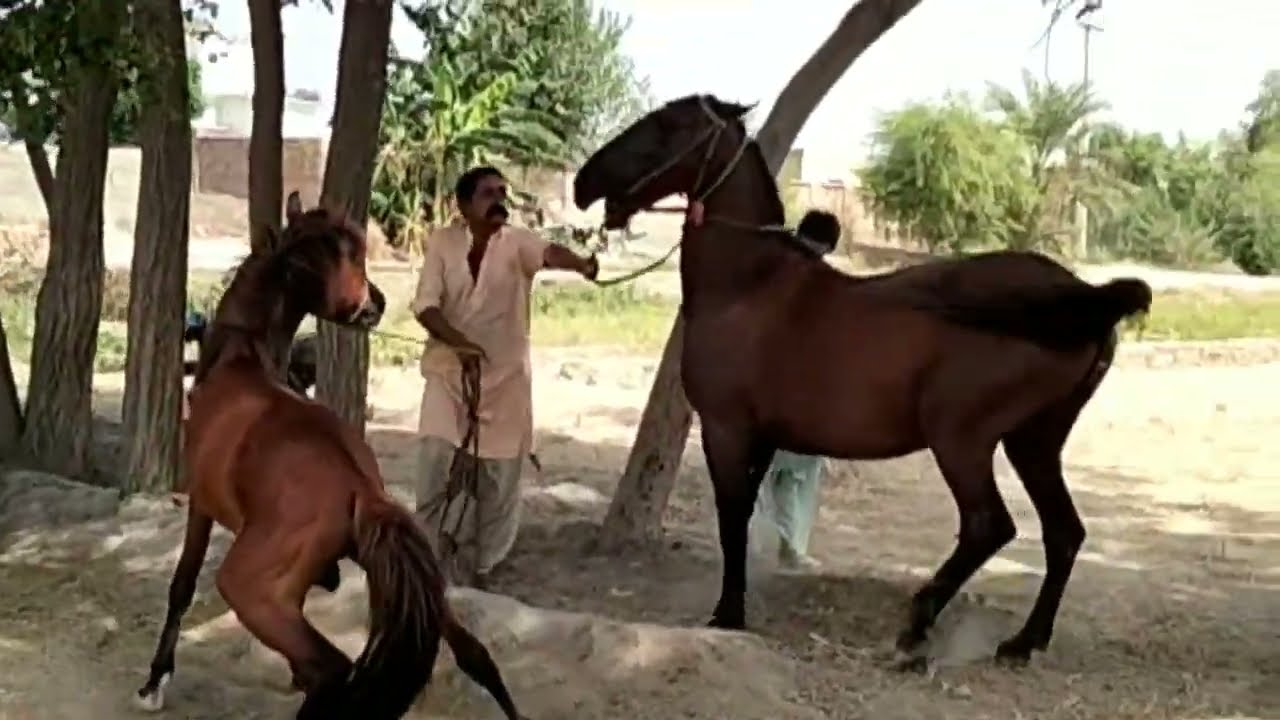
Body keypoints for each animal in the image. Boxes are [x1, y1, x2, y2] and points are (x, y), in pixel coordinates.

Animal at [135, 194, 525, 719]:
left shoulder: (200, 505)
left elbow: (181, 586)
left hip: (250, 589)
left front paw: (155, 680)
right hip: (415, 584)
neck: (240, 358)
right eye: (344, 257)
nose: (375, 303)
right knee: (474, 655)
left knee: (333, 669)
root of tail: (361, 488)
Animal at [572, 94, 1152, 666]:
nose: (583, 182)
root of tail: (1086, 295)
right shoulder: (762, 437)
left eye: (666, 126)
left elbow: (731, 518)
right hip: (1033, 442)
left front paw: (728, 614)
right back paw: (1022, 642)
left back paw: (917, 628)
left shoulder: (726, 429)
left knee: (989, 525)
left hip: (963, 440)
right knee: (1063, 531)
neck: (749, 284)